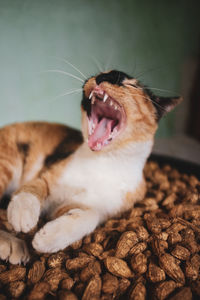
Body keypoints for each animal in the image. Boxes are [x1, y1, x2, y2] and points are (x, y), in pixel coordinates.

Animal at [0, 69, 181, 262]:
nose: (102, 78)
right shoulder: (47, 177)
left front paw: (47, 239)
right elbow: (32, 189)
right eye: (103, 73)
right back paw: (13, 245)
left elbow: (90, 216)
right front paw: (22, 215)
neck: (103, 163)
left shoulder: (93, 208)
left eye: (130, 84)